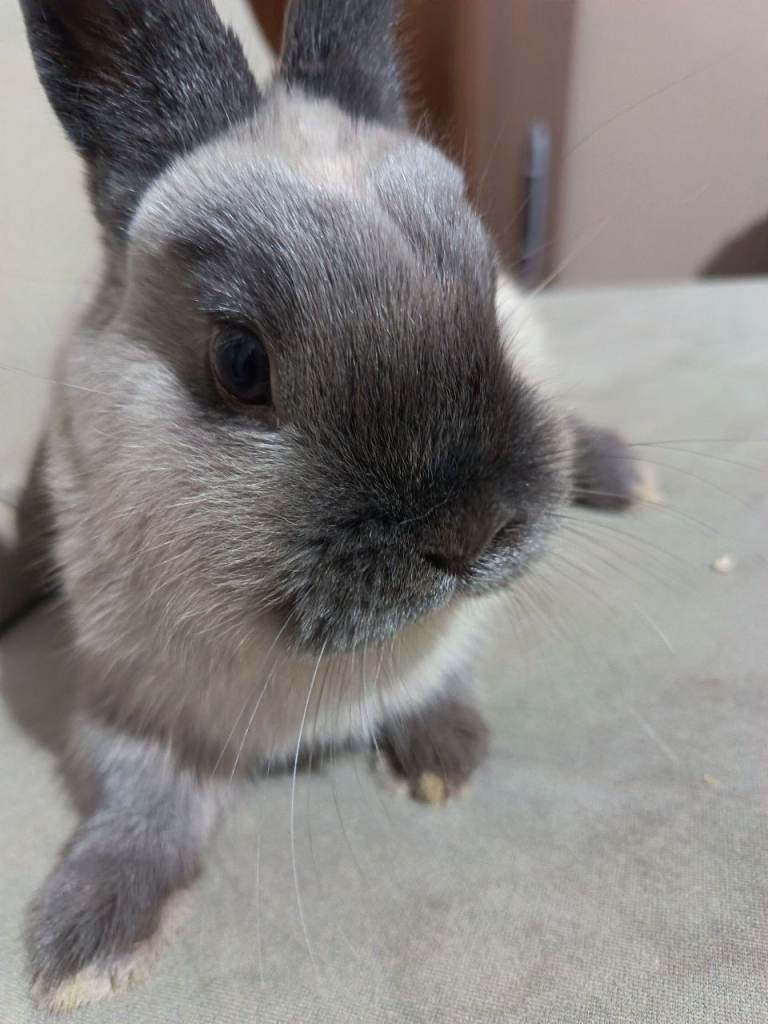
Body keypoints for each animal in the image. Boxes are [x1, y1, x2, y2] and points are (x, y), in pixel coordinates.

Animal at [18, 0, 642, 1010]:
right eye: (240, 363)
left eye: (489, 296)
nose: (470, 530)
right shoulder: (123, 712)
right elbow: (138, 809)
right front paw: (80, 948)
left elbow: (444, 678)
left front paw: (444, 757)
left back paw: (619, 470)